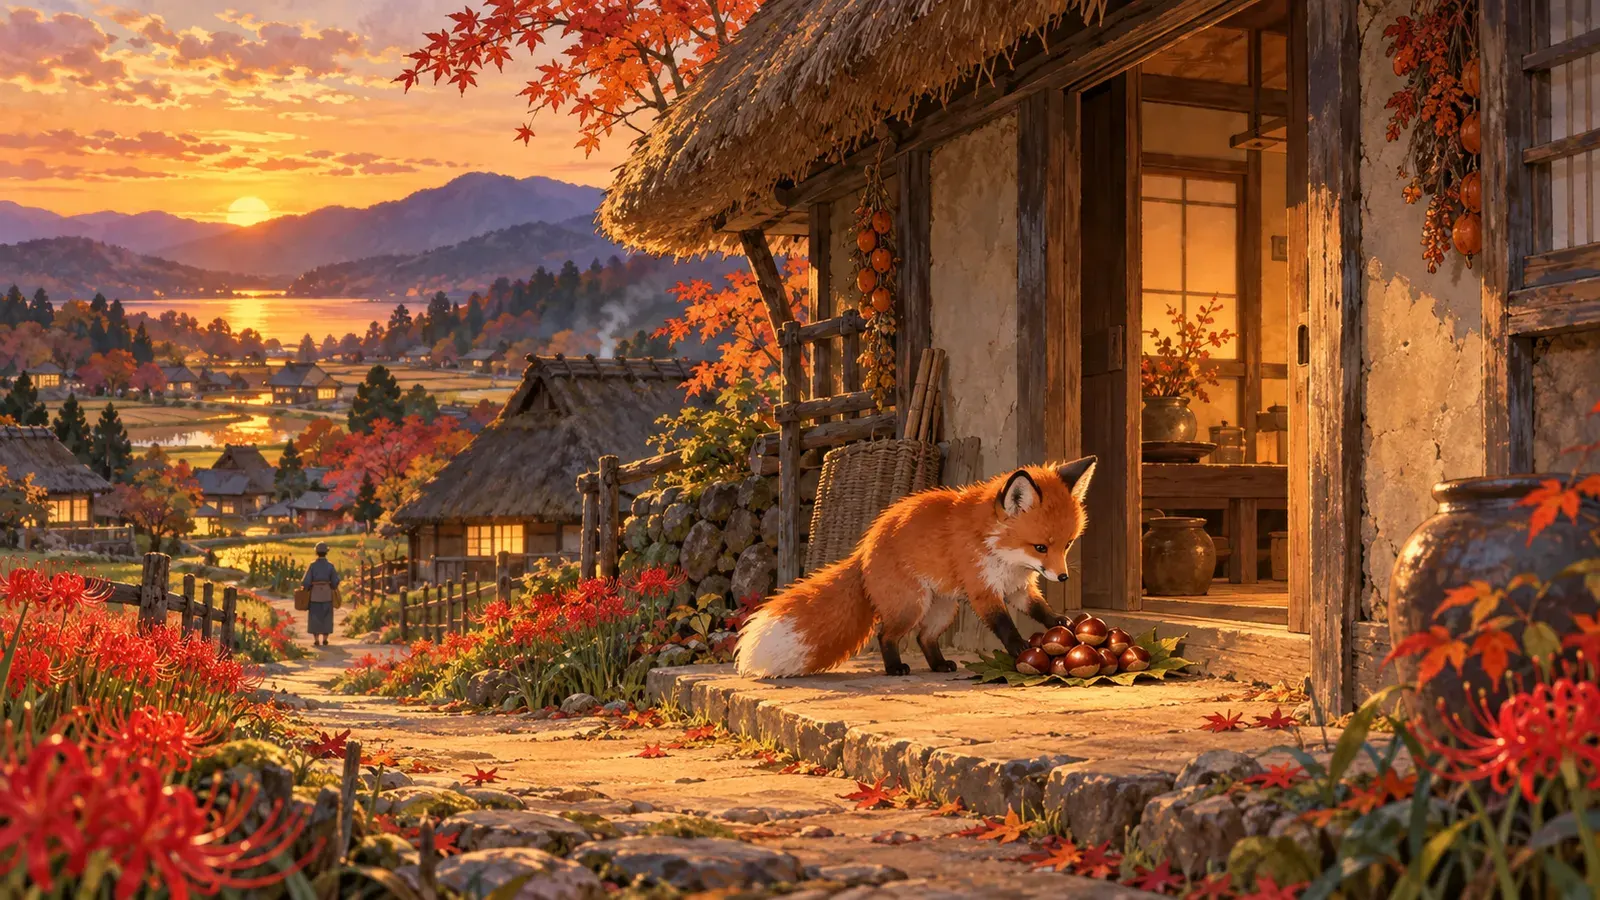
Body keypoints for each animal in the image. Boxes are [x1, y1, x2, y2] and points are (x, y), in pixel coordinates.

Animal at [735, 455, 1097, 677]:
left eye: (1067, 544)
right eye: (1040, 547)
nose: (1063, 576)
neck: (1000, 552)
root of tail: (864, 548)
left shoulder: (1019, 587)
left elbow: (1038, 609)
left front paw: (1060, 621)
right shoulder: (983, 590)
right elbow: (1004, 625)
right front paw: (1020, 647)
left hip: (943, 608)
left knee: (924, 638)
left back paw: (939, 665)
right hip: (912, 606)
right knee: (886, 635)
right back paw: (895, 668)